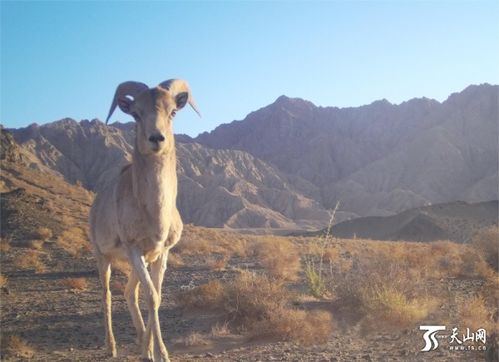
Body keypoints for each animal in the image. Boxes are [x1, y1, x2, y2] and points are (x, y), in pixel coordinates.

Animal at [89, 80, 200, 362]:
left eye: (173, 112)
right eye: (136, 114)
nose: (156, 139)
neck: (154, 215)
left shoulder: (160, 253)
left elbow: (156, 297)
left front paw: (151, 352)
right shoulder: (134, 249)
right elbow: (151, 297)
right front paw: (159, 354)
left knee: (130, 292)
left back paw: (141, 342)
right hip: (103, 257)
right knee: (107, 295)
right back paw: (111, 347)